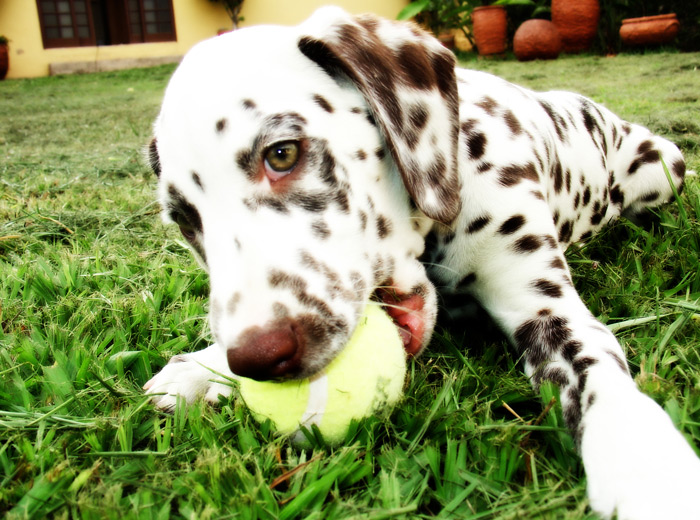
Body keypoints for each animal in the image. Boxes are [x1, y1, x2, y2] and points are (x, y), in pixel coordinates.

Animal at [144, 7, 700, 519]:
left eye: (282, 154)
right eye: (185, 221)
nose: (257, 358)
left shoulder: (546, 310)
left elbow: (597, 370)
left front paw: (647, 469)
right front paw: (203, 367)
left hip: (662, 169)